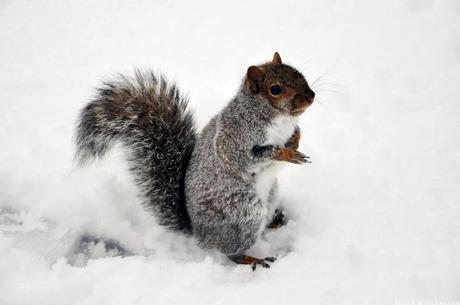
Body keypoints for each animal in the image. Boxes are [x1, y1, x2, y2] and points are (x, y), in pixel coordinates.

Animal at [75, 52, 314, 268]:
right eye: (276, 89)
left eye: (298, 73)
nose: (311, 96)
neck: (279, 118)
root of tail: (199, 233)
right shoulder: (235, 139)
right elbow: (248, 156)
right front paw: (286, 153)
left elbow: (296, 134)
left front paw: (296, 139)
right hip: (244, 214)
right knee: (231, 252)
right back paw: (253, 259)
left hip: (270, 195)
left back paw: (275, 222)